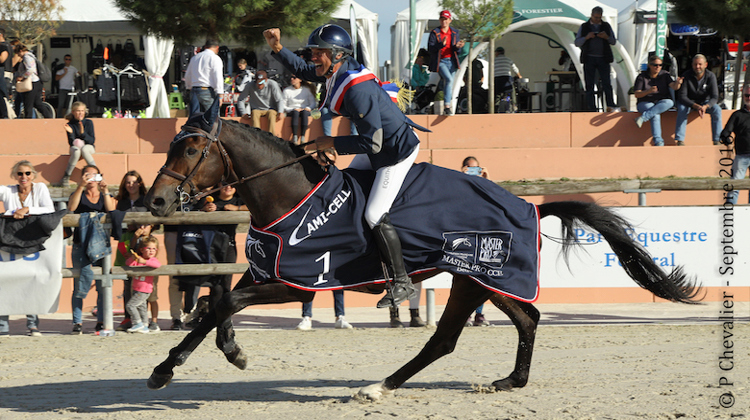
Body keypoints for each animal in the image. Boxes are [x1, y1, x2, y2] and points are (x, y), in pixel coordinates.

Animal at [145, 101, 704, 400]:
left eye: (191, 149)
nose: (155, 201)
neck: (289, 194)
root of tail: (527, 206)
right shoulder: (264, 271)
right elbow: (216, 305)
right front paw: (203, 356)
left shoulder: (296, 281)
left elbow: (224, 302)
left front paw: (178, 365)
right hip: (477, 282)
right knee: (496, 327)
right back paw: (497, 382)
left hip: (483, 276)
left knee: (480, 330)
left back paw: (387, 386)